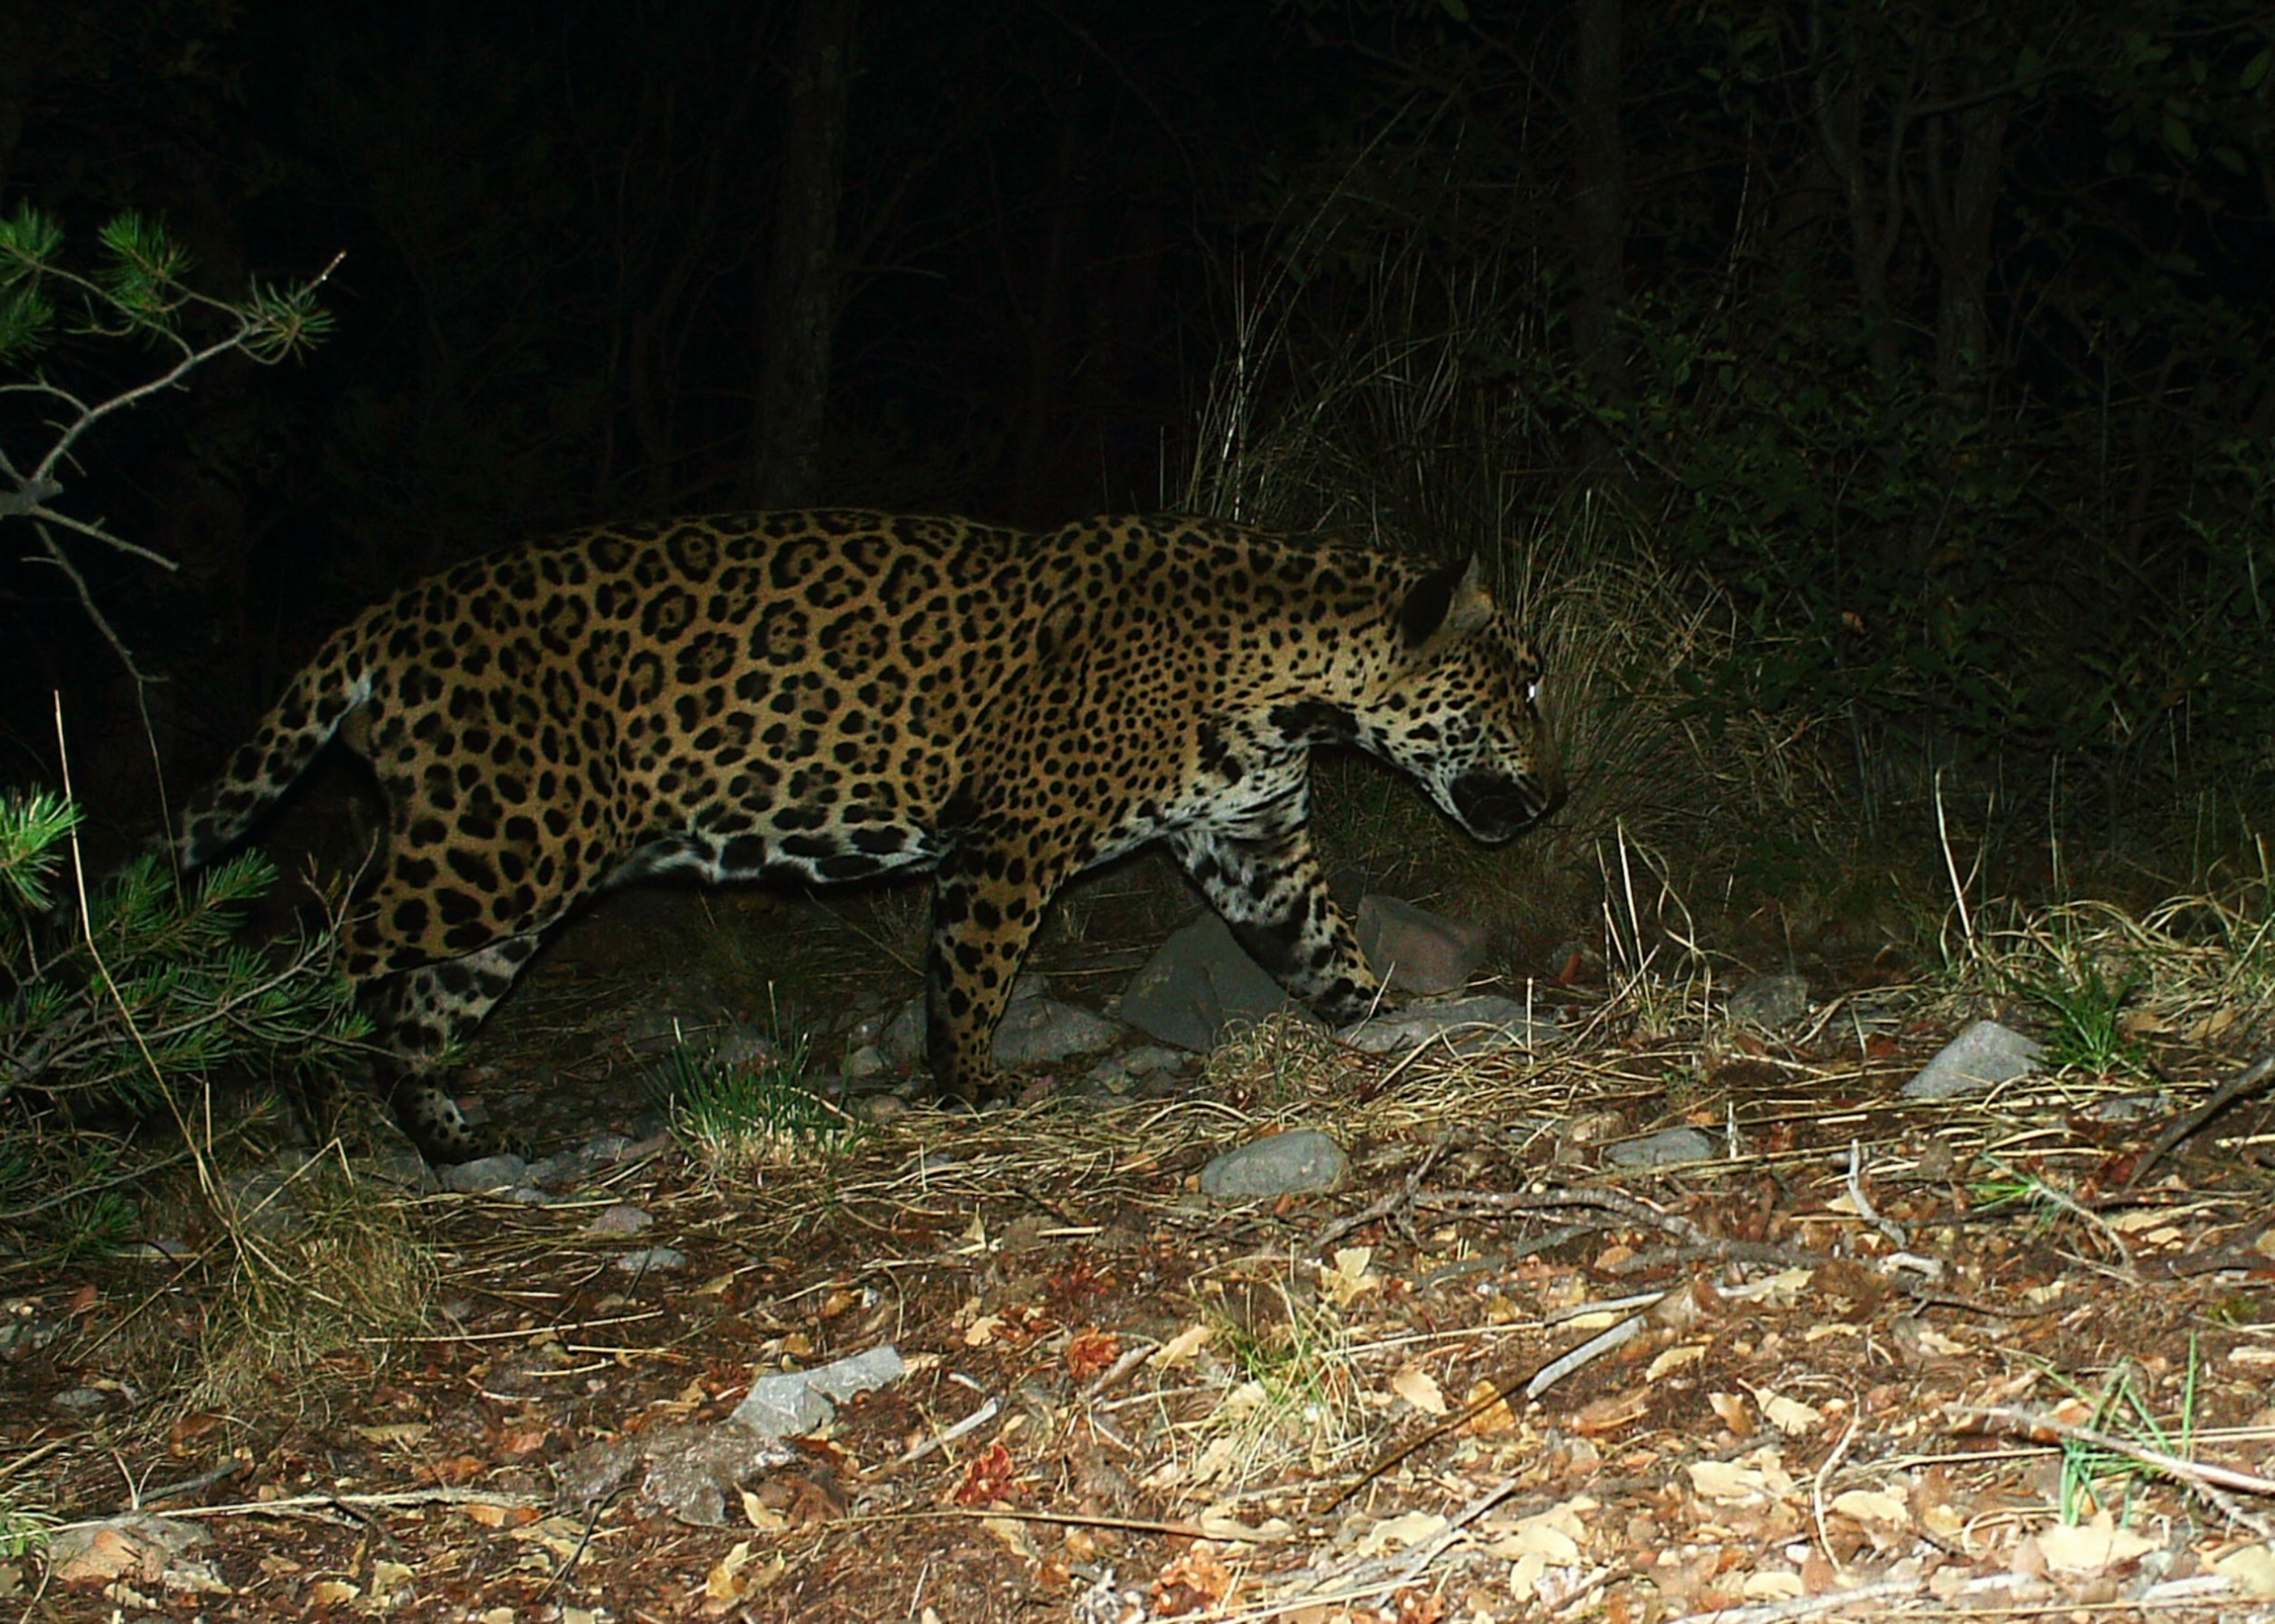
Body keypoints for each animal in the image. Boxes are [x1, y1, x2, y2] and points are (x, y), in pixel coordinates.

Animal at [180, 509, 1565, 1161]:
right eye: (1525, 685)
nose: (1557, 796)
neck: (1292, 679)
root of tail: (386, 621)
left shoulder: (1253, 840)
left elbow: (1325, 952)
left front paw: (1388, 1021)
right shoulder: (1013, 837)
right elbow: (974, 973)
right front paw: (973, 1087)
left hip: (507, 873)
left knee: (419, 1009)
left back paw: (456, 1142)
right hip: (501, 842)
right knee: (323, 944)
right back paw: (299, 1090)